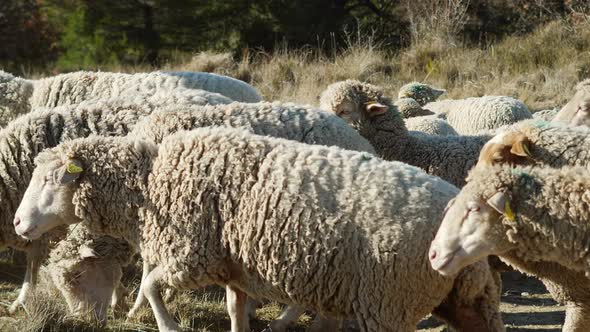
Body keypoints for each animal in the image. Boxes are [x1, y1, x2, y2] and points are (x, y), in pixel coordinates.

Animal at [12, 129, 504, 332]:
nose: (16, 223)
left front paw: (168, 326)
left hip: (389, 299)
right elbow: (234, 308)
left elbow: (150, 286)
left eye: (53, 179)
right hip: (465, 298)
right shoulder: (235, 266)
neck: (149, 184)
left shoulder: (192, 254)